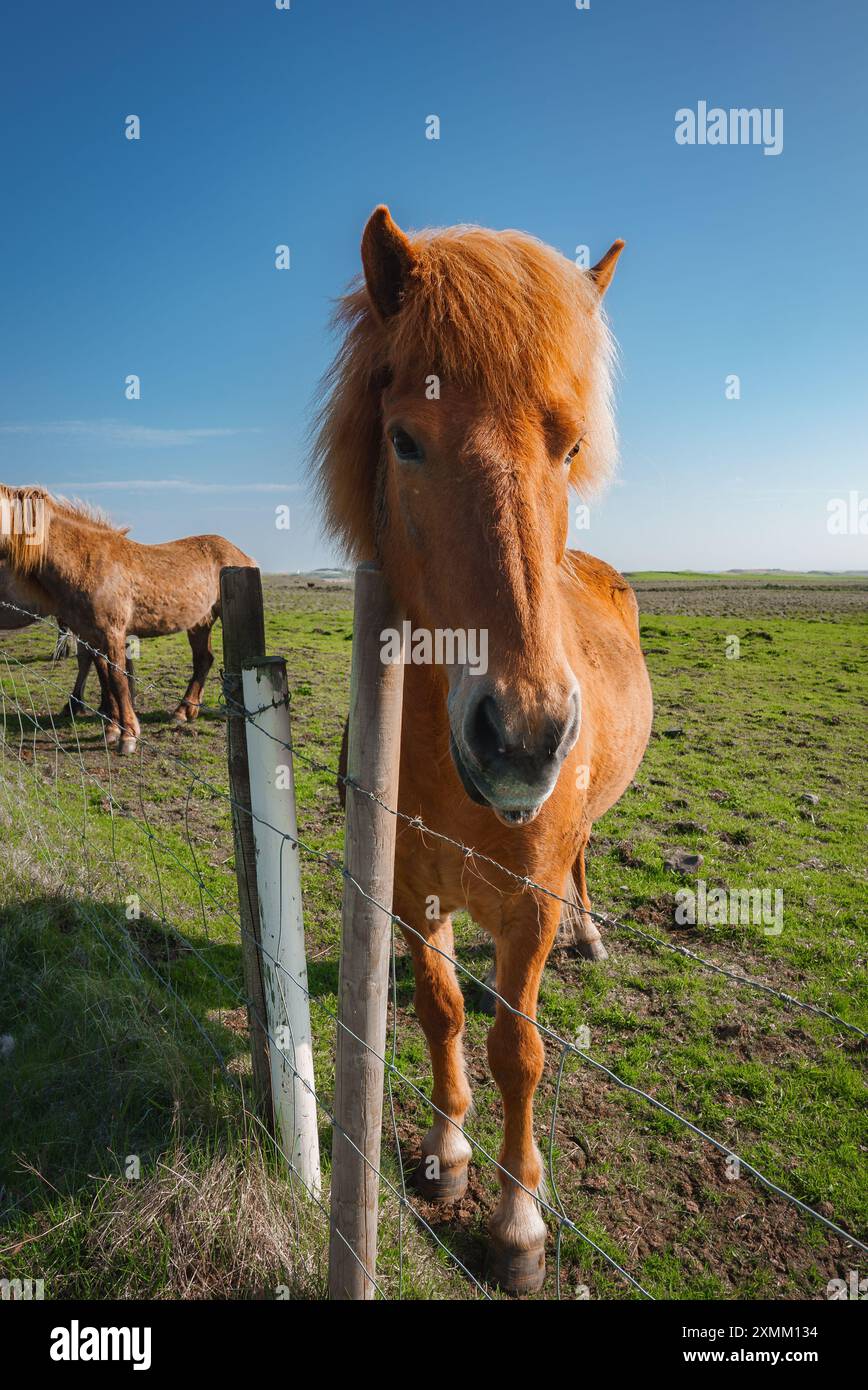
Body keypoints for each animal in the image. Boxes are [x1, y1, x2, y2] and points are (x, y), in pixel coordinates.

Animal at [0, 488, 255, 754]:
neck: (89, 560)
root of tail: (241, 555)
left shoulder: (112, 634)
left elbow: (118, 679)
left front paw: (128, 735)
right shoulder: (92, 636)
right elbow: (105, 679)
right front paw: (112, 729)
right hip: (199, 623)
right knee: (203, 660)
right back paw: (184, 711)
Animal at [314, 207, 653, 1292]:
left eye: (571, 446)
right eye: (404, 440)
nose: (523, 738)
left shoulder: (525, 906)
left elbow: (519, 1050)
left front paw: (516, 1220)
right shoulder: (410, 886)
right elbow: (441, 1010)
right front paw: (447, 1150)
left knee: (583, 852)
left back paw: (592, 932)